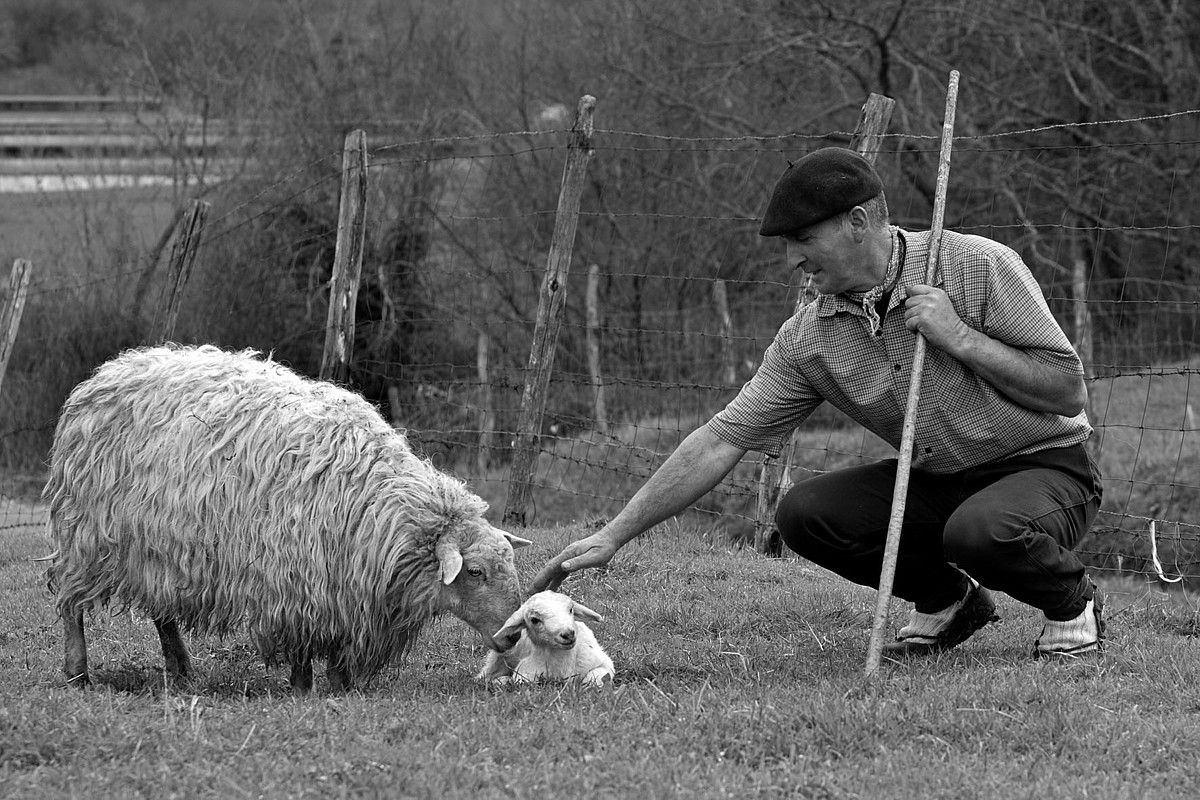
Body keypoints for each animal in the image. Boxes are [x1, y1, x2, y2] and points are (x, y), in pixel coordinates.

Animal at [43, 345, 530, 695]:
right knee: (71, 605)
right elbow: (301, 642)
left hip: (160, 547)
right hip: (88, 537)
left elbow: (338, 650)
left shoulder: (346, 590)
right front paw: (302, 687)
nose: (511, 637)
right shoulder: (296, 580)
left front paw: (340, 687)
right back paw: (77, 673)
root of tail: (111, 370)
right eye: (475, 572)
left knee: (163, 613)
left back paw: (180, 669)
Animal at [475, 587, 614, 690]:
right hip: (496, 659)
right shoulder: (526, 672)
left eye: (571, 609)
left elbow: (594, 679)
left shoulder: (604, 664)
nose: (568, 634)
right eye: (534, 620)